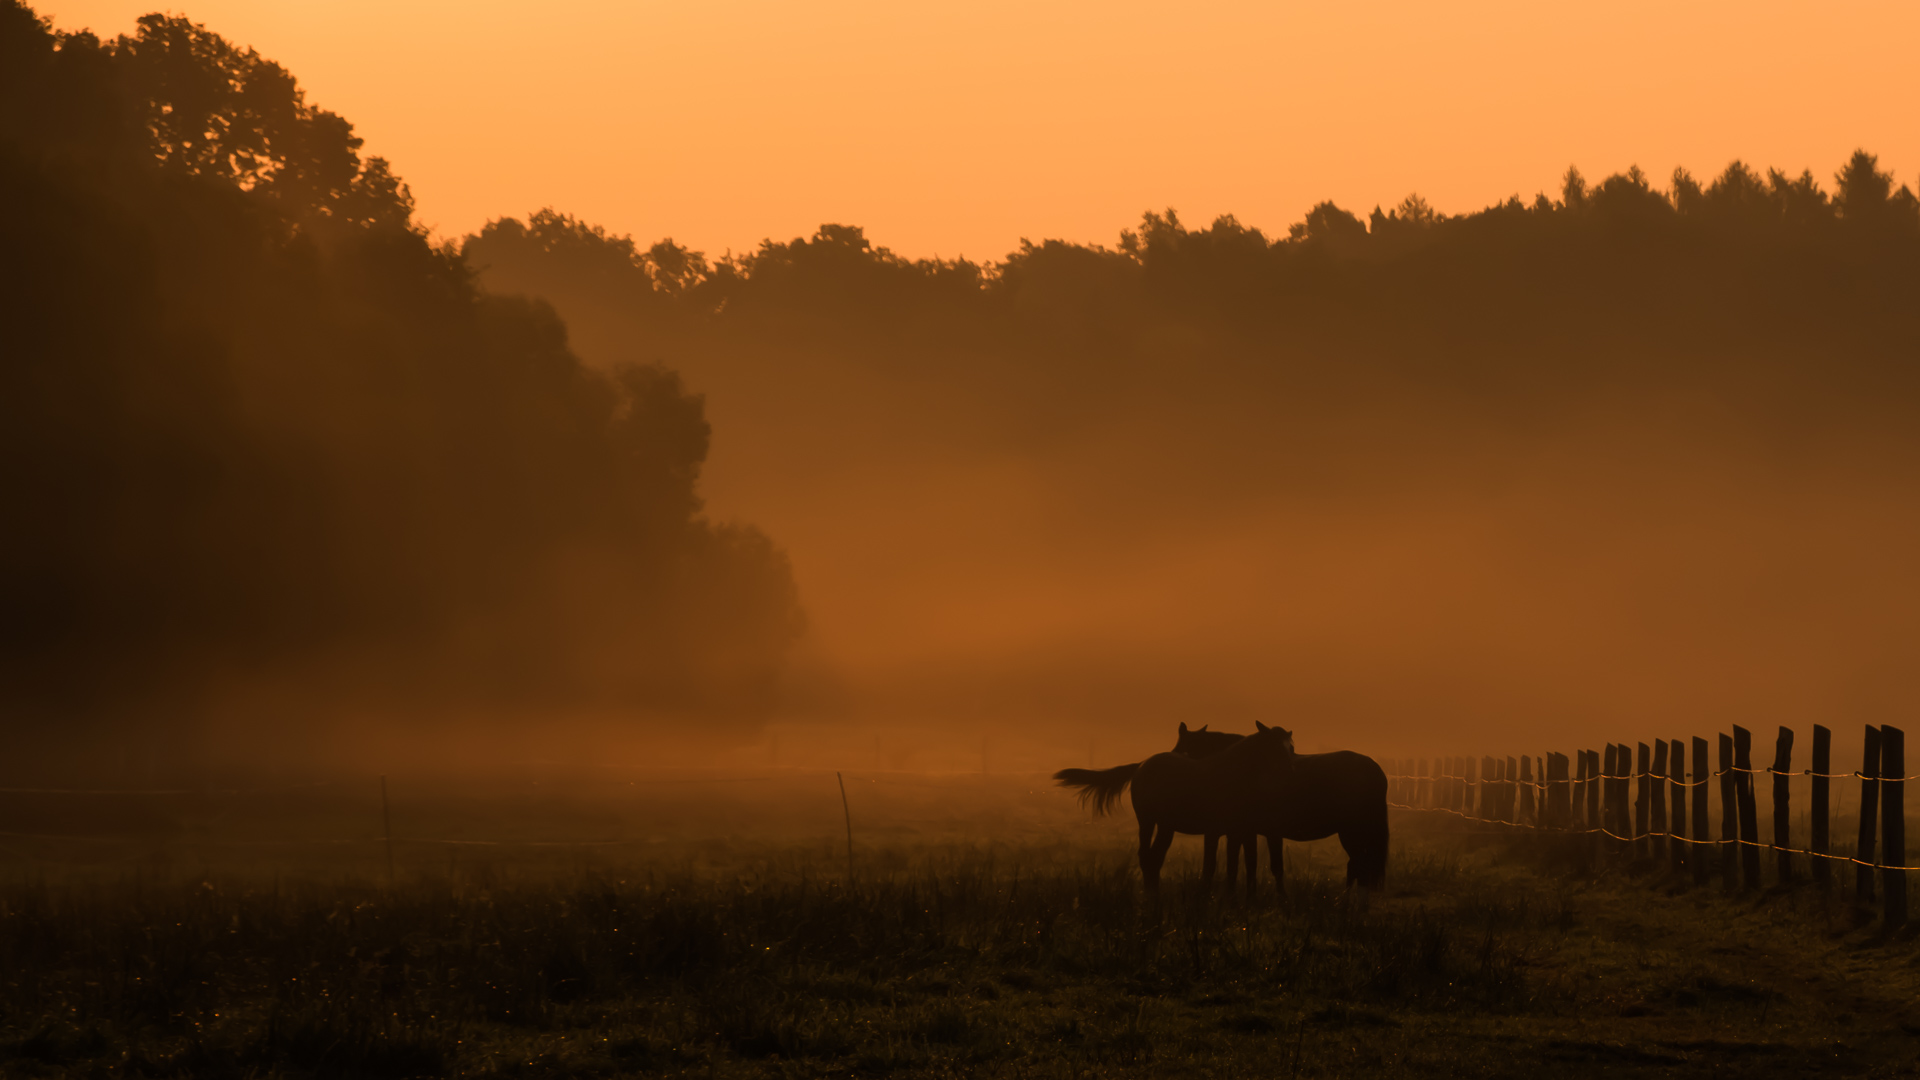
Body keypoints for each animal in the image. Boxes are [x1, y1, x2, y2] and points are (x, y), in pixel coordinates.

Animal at [1044, 718, 1297, 887]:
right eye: (1275, 747)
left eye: (1291, 746)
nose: (1289, 770)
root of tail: (1143, 764)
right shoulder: (1217, 831)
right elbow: (1213, 867)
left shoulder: (1236, 831)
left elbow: (1237, 867)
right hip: (1147, 821)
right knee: (1147, 857)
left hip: (1166, 827)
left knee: (1154, 858)